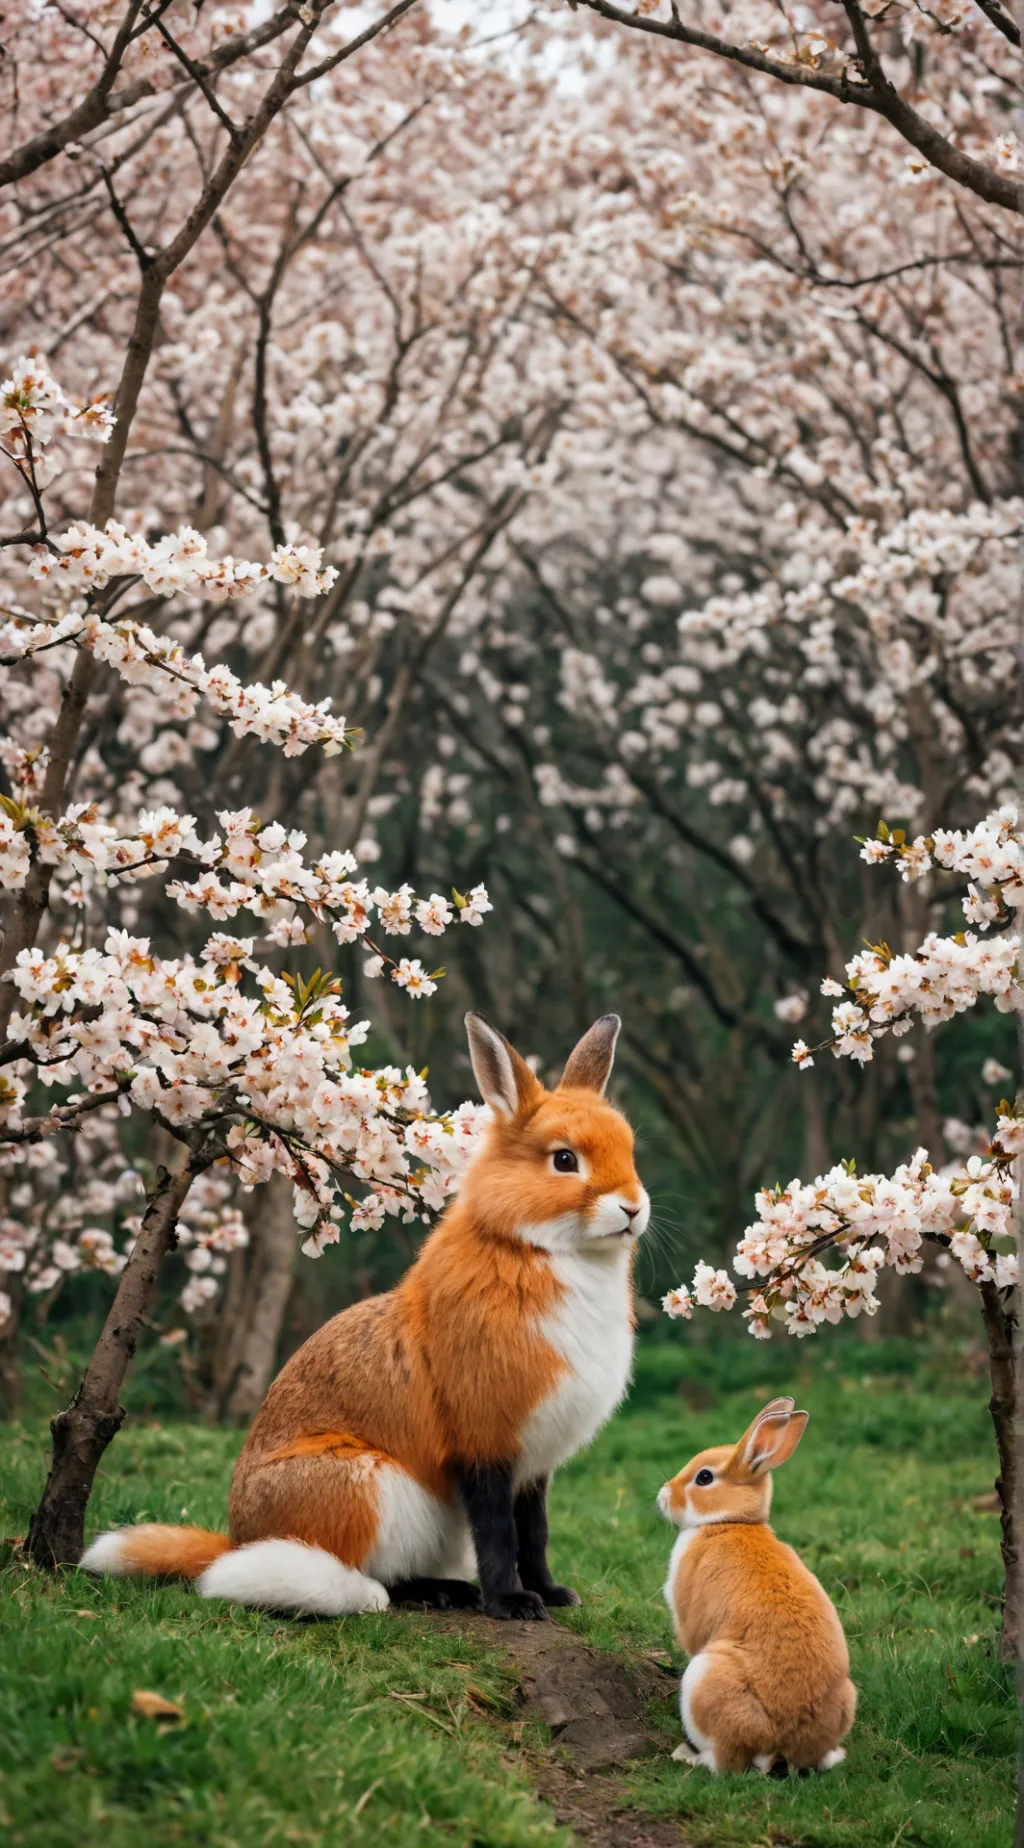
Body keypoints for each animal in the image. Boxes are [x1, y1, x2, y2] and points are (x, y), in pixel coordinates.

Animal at [81, 1011, 650, 1620]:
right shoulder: (483, 1443)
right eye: (564, 1160)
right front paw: (512, 1604)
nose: (633, 1208)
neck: (534, 1250)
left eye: (629, 1151)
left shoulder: (534, 1467)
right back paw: (414, 1593)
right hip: (367, 1490)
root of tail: (237, 1538)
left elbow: (534, 1533)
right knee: (363, 1577)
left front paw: (552, 1594)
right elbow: (497, 1532)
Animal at [658, 1396, 856, 1774]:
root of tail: (782, 1744)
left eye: (704, 1477)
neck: (728, 1521)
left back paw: (688, 1756)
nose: (663, 1496)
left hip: (704, 1678)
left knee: (726, 1763)